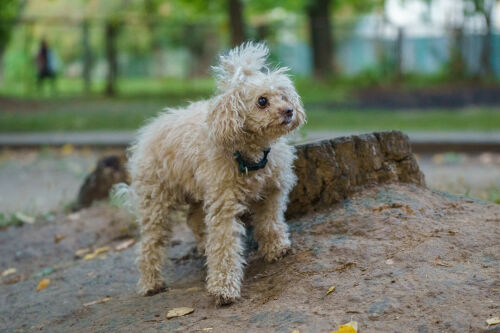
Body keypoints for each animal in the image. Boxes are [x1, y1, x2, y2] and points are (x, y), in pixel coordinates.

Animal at [123, 41, 306, 304]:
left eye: (283, 96)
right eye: (262, 101)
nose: (290, 111)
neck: (251, 156)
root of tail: (147, 133)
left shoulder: (272, 192)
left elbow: (271, 222)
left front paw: (276, 248)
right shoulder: (224, 206)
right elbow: (224, 245)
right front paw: (223, 288)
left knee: (194, 219)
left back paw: (201, 246)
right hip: (156, 201)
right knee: (150, 243)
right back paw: (150, 283)